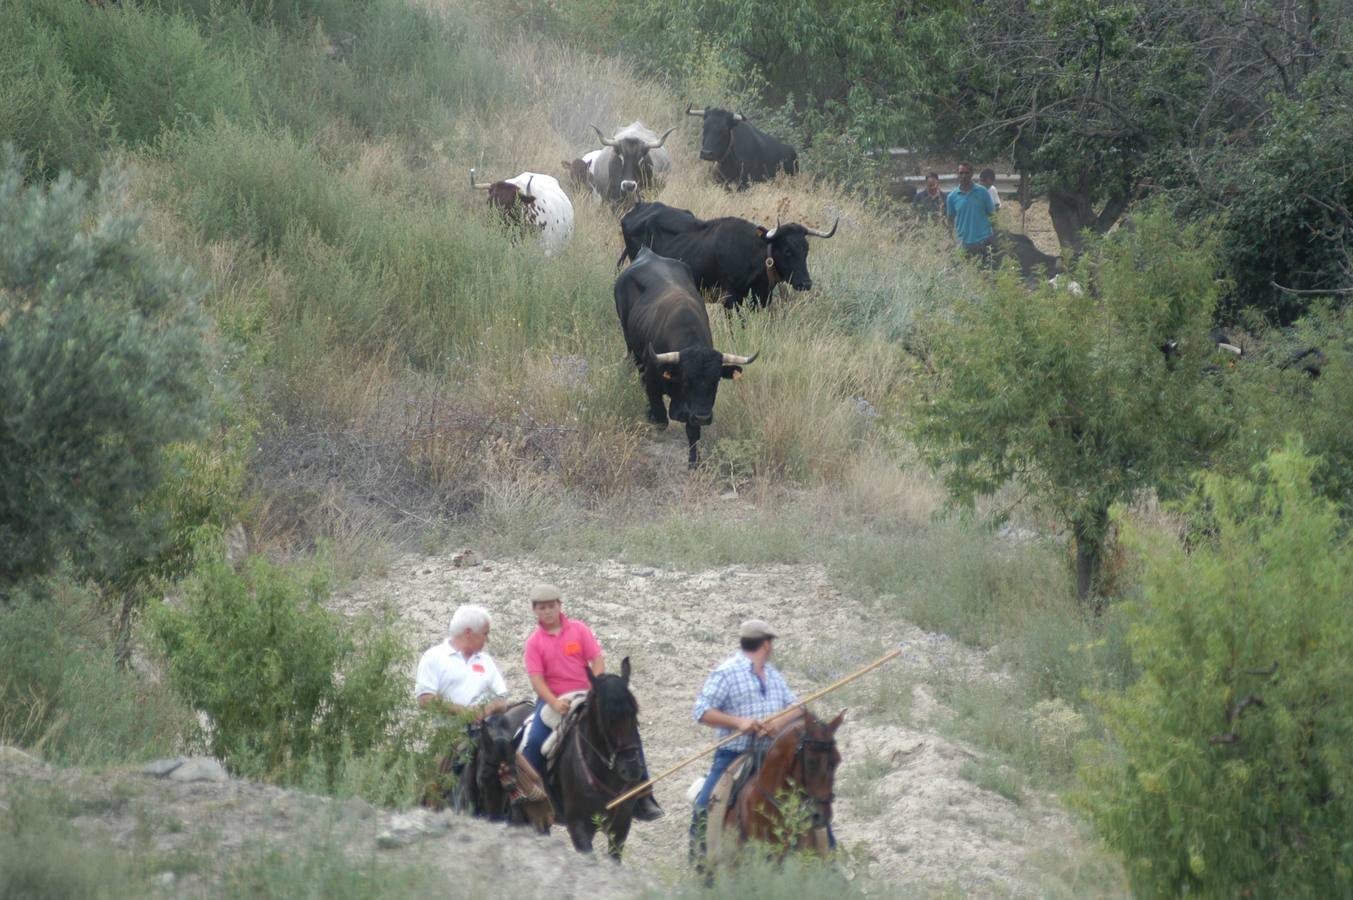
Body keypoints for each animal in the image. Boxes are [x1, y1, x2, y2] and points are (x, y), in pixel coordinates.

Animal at [616, 249, 757, 465]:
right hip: (630, 343)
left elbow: (693, 432)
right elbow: (661, 418)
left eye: (716, 381)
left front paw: (693, 461)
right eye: (686, 380)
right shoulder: (652, 381)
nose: (703, 417)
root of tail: (647, 253)